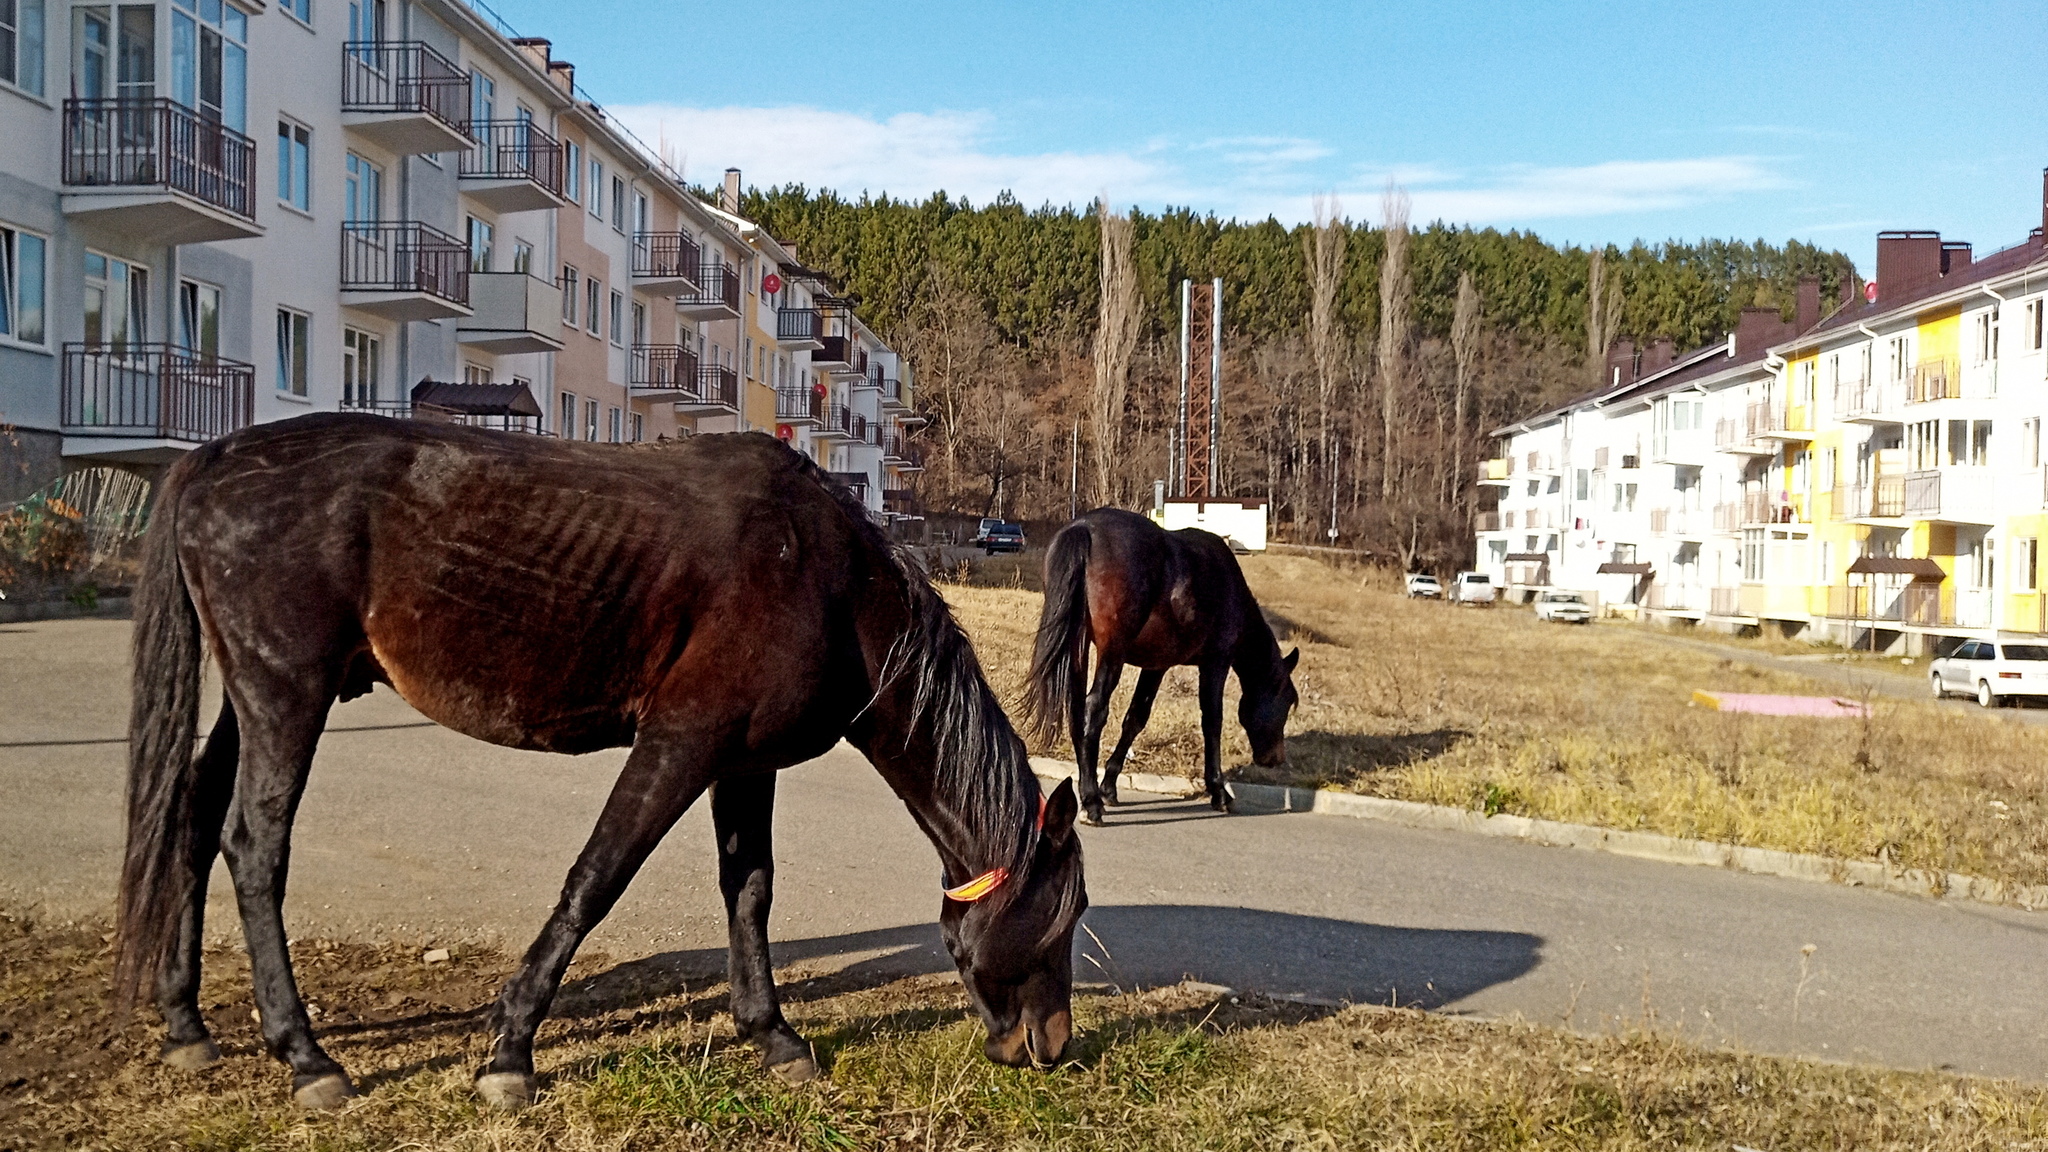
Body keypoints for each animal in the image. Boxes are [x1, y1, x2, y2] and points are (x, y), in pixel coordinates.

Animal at [116, 412, 1089, 1106]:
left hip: (255, 697)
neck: (828, 579)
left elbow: (751, 890)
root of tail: (212, 459)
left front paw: (771, 1034)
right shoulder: (682, 741)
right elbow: (597, 879)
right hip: (286, 692)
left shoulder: (745, 762)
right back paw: (307, 1057)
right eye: (1067, 913)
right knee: (254, 847)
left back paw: (185, 1024)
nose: (1049, 1045)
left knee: (193, 823)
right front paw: (510, 1051)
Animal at [1019, 506, 1294, 819]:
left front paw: (1109, 786)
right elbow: (1212, 721)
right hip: (1112, 654)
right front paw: (1219, 791)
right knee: (1094, 710)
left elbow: (1135, 718)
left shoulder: (1156, 667)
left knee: (1078, 713)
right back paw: (1091, 802)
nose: (1276, 758)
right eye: (1287, 701)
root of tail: (1085, 528)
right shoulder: (1216, 663)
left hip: (1079, 647)